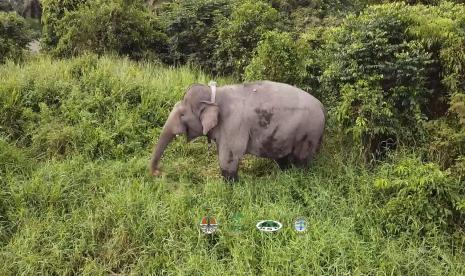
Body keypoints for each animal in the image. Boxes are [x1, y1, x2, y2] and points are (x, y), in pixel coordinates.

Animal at [150, 81, 324, 182]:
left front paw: (230, 186)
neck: (215, 95)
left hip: (309, 133)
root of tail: (323, 107)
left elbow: (228, 156)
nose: (159, 172)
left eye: (182, 115)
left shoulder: (233, 123)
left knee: (301, 161)